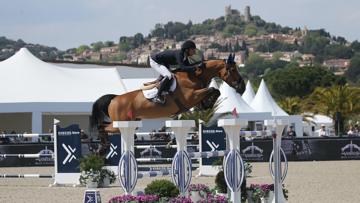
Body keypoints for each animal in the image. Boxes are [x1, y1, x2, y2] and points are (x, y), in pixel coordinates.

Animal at [91, 54, 246, 154]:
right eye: (232, 70)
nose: (242, 87)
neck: (195, 76)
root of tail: (114, 99)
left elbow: (213, 91)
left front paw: (206, 104)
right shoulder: (190, 97)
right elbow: (213, 89)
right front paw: (208, 102)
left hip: (129, 122)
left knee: (104, 126)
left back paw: (103, 147)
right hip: (121, 123)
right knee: (102, 126)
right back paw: (103, 148)